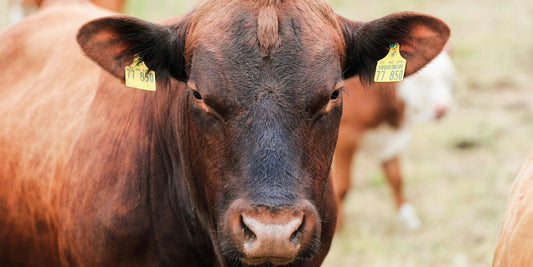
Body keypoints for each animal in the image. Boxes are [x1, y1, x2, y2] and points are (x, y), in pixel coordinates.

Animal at [332, 51, 454, 231]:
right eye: (421, 79)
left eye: (448, 77)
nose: (442, 108)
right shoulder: (346, 137)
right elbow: (342, 185)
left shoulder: (388, 141)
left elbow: (396, 177)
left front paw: (406, 216)